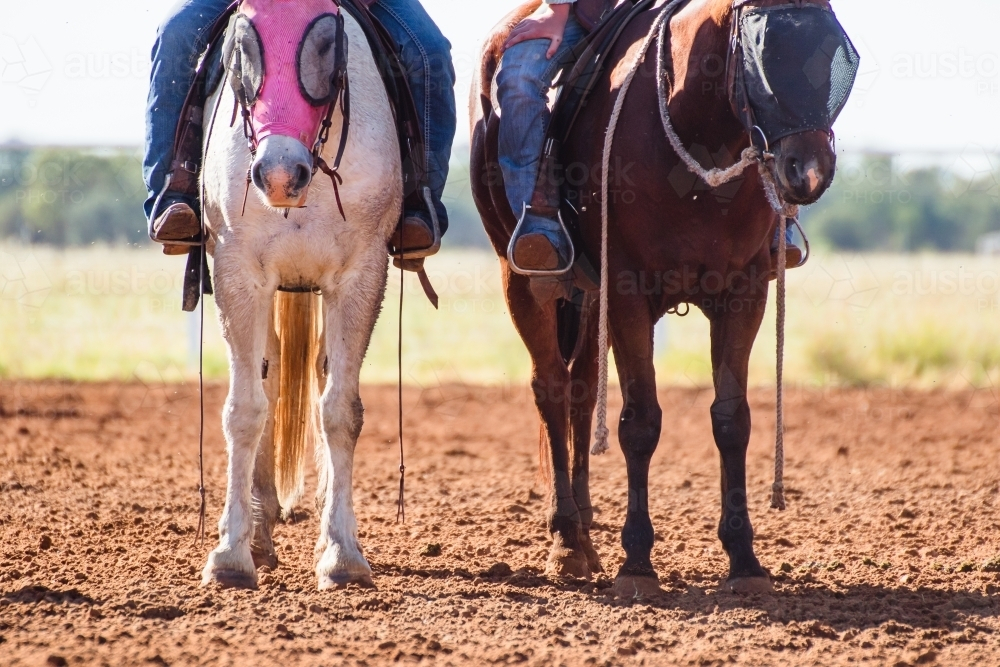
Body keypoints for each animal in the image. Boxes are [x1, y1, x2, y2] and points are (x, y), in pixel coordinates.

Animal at [198, 0, 401, 590]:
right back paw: (259, 533)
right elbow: (244, 409)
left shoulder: (360, 274)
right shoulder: (237, 272)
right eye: (242, 44)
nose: (279, 174)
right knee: (265, 379)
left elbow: (340, 411)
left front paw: (342, 554)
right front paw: (229, 555)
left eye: (327, 43)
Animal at [472, 0, 852, 595]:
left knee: (581, 392)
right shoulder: (628, 292)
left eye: (836, 48)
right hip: (526, 278)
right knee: (552, 389)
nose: (808, 171)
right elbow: (640, 422)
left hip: (589, 296)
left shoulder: (744, 292)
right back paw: (567, 540)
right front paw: (637, 562)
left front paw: (744, 559)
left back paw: (585, 531)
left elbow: (732, 419)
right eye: (760, 52)